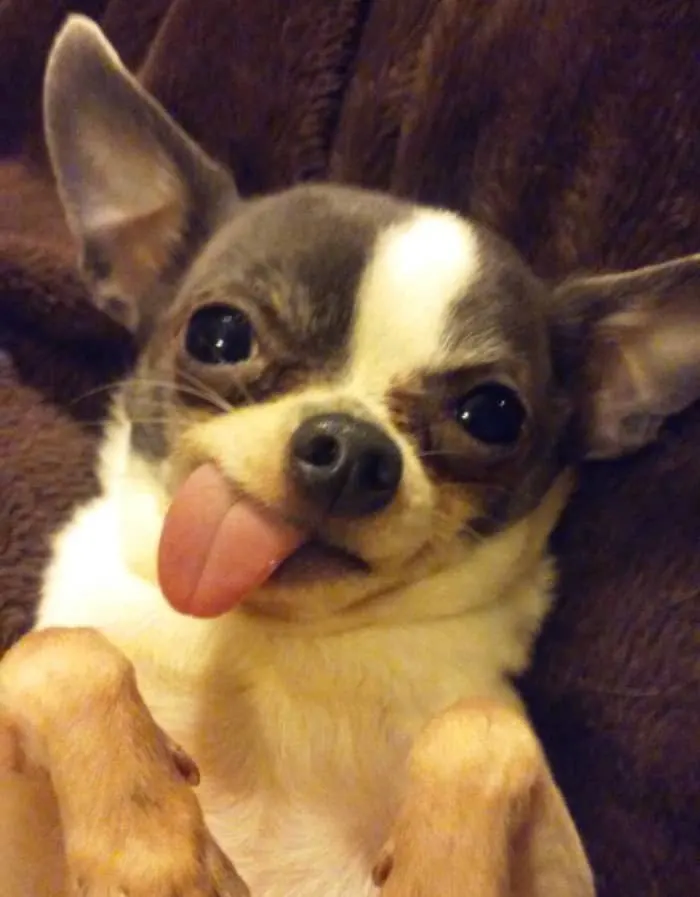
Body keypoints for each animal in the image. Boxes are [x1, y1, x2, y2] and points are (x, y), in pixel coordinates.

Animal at [1, 14, 700, 896]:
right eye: (219, 335)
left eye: (493, 414)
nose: (349, 449)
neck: (276, 642)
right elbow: (55, 653)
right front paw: (153, 849)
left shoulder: (561, 861)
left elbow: (484, 730)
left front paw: (443, 877)